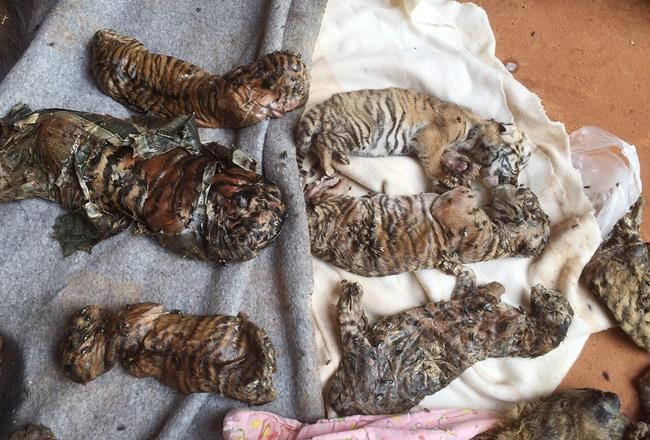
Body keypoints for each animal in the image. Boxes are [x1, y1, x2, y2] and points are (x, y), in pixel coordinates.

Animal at [296, 88, 533, 189]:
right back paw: (329, 168)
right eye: (518, 163)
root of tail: (325, 104)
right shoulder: (432, 136)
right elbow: (434, 160)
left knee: (319, 141)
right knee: (322, 141)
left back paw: (341, 158)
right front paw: (445, 176)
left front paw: (463, 167)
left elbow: (449, 156)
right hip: (361, 130)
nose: (515, 183)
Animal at [305, 175, 550, 277]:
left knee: (317, 197)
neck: (501, 239)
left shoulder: (453, 208)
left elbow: (464, 191)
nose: (509, 180)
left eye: (524, 192)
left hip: (339, 206)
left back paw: (330, 184)